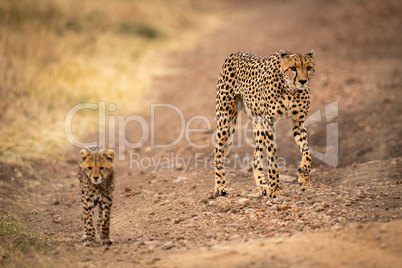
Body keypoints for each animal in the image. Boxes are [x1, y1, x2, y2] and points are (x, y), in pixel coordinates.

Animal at [215, 49, 316, 197]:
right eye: (293, 68)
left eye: (309, 68)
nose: (303, 81)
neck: (290, 89)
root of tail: (234, 53)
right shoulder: (270, 123)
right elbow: (272, 158)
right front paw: (275, 188)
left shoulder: (298, 123)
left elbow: (307, 152)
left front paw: (304, 178)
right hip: (226, 122)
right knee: (218, 153)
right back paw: (220, 187)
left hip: (259, 126)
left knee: (255, 160)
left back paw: (263, 187)